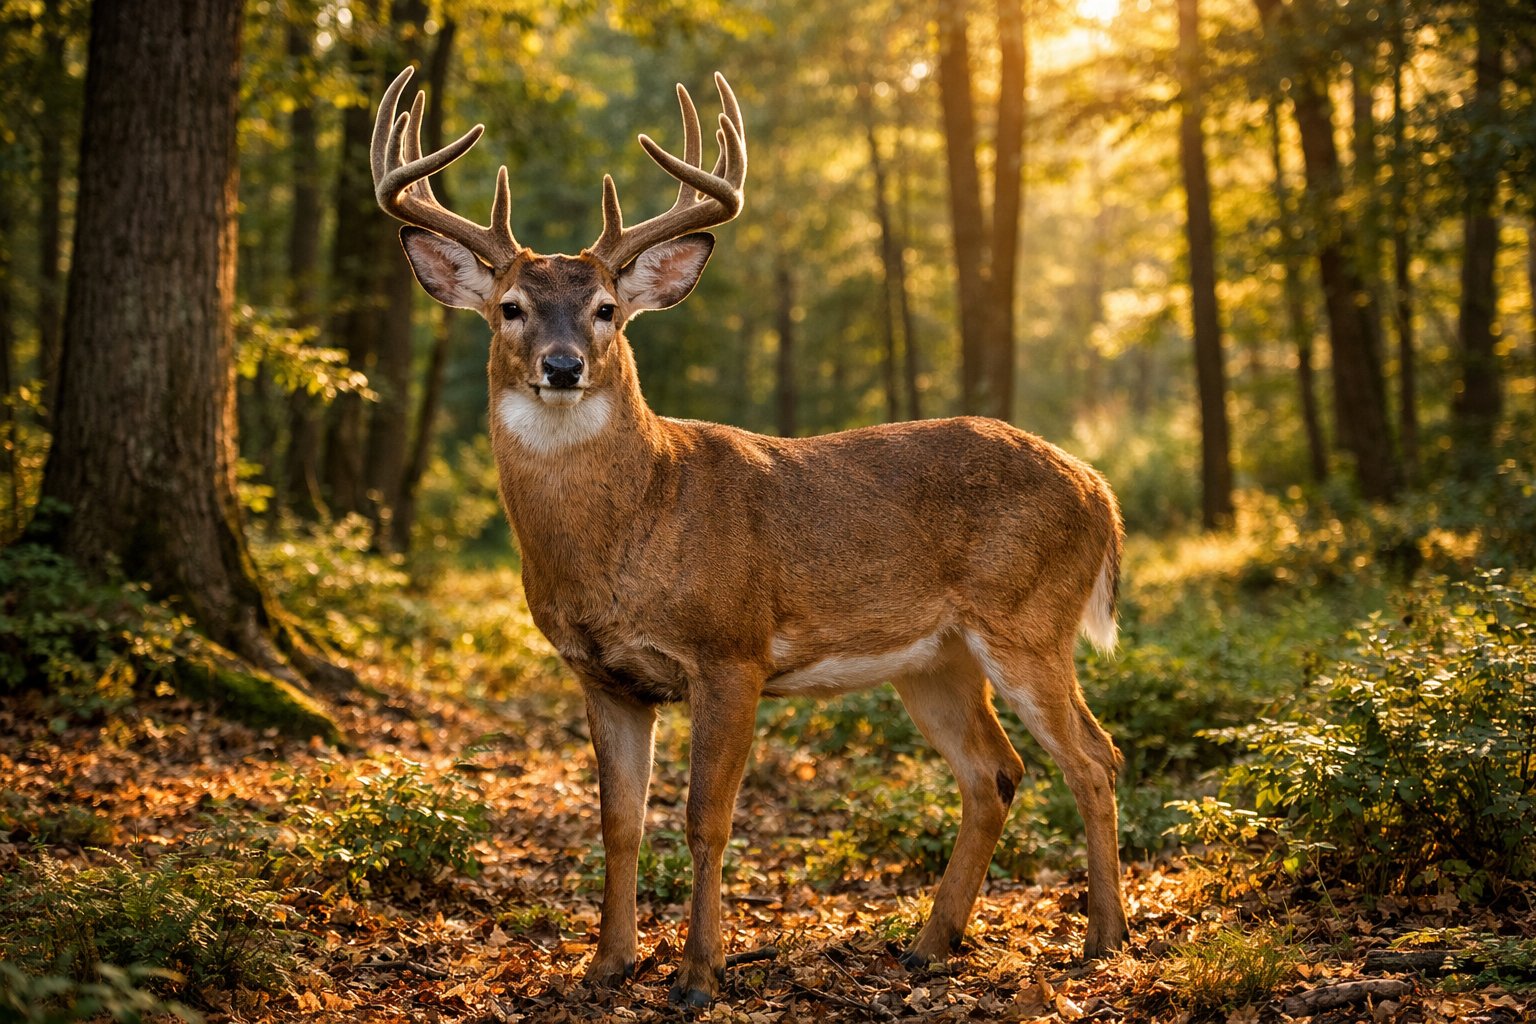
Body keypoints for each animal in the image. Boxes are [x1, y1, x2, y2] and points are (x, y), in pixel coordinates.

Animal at [371, 66, 1130, 1007]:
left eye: (606, 308)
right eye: (510, 307)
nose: (562, 365)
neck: (632, 528)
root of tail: (1100, 491)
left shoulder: (732, 650)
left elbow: (707, 819)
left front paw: (699, 974)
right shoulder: (603, 675)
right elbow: (618, 822)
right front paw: (607, 965)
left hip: (1027, 620)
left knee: (1095, 758)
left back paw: (1103, 940)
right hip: (934, 658)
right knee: (994, 772)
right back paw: (930, 944)